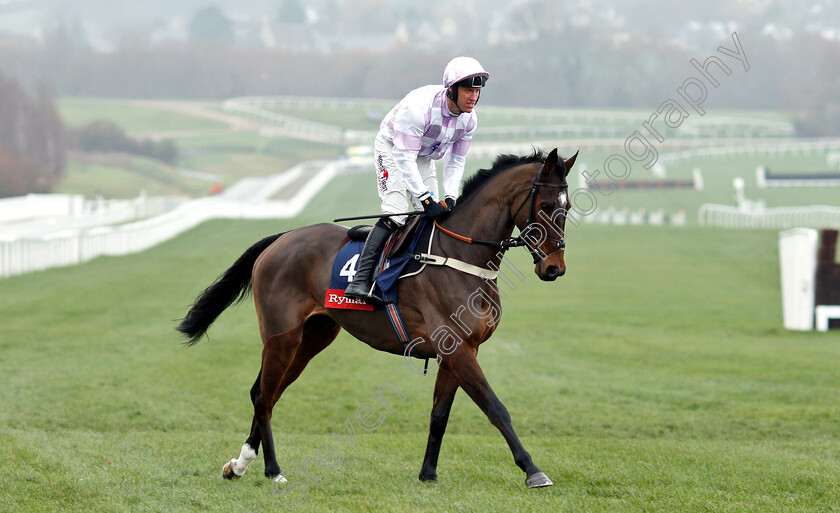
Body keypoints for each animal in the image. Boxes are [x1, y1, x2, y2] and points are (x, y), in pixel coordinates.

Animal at [177, 147, 576, 488]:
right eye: (544, 205)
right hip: (282, 336)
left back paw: (239, 465)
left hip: (312, 338)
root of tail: (282, 237)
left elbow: (439, 415)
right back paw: (273, 470)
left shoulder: (459, 351)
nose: (554, 268)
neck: (460, 257)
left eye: (567, 206)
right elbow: (496, 408)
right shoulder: (458, 349)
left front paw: (428, 473)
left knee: (266, 392)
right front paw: (533, 470)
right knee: (263, 396)